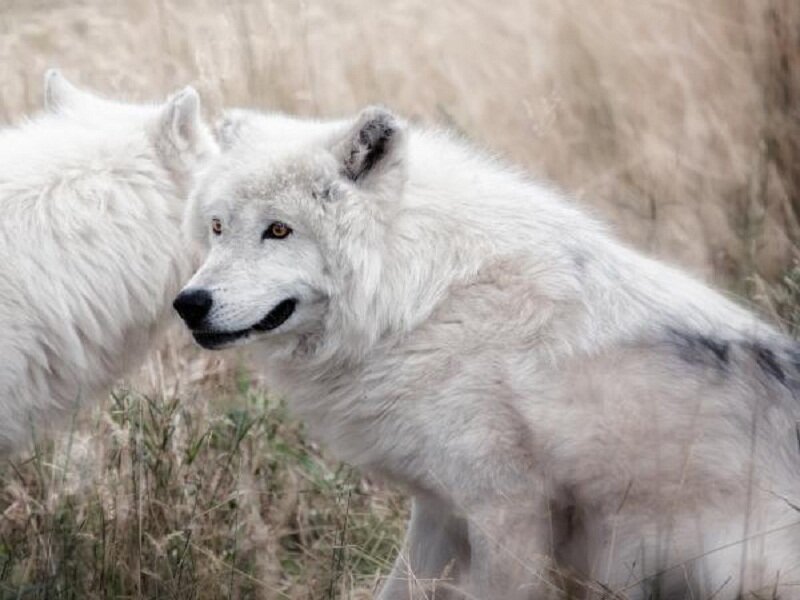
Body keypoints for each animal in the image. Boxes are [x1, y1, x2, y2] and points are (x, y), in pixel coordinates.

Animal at [175, 106, 800, 599]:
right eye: (218, 227)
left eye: (279, 231)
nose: (188, 304)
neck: (424, 299)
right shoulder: (439, 509)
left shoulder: (506, 509)